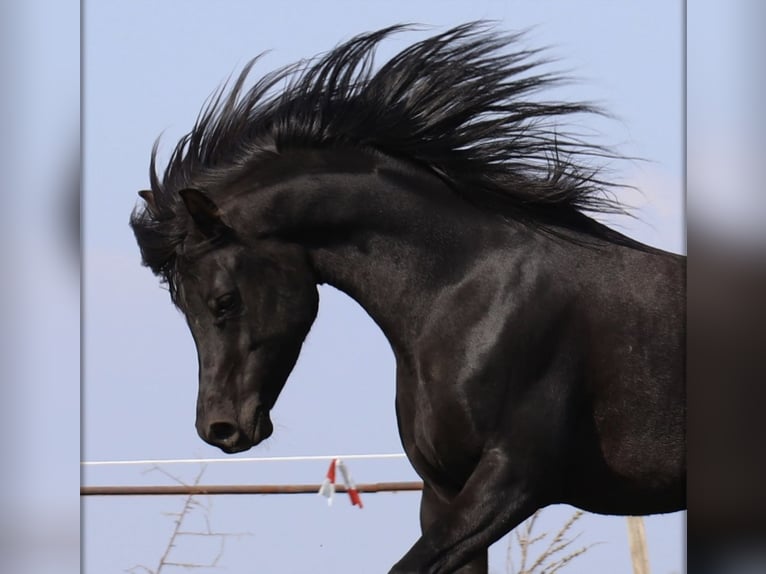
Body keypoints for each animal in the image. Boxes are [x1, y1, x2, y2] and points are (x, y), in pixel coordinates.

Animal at [129, 24, 688, 572]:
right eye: (184, 310)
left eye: (224, 301)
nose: (218, 428)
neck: (471, 295)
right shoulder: (443, 490)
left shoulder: (512, 480)